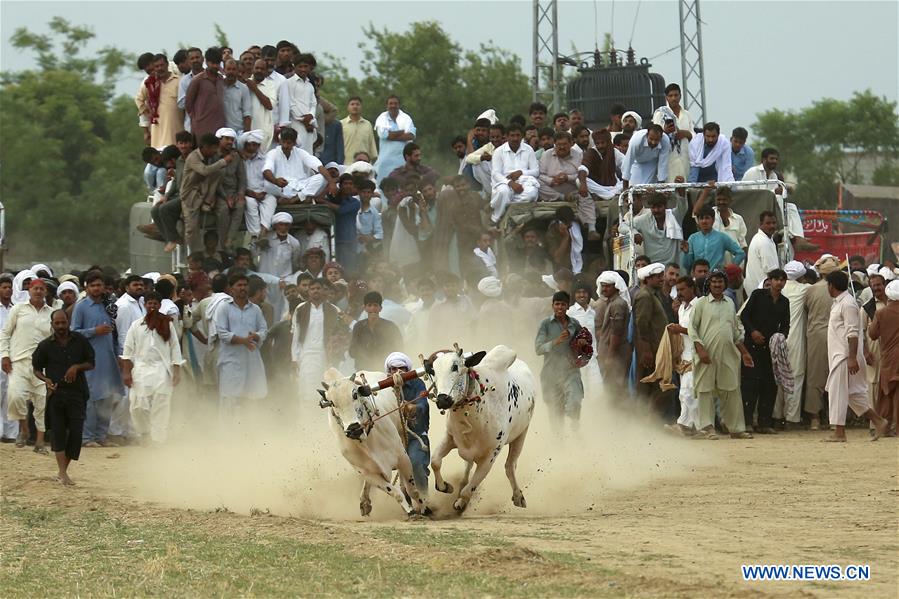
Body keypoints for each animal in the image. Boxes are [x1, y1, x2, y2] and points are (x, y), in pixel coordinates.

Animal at [319, 367, 427, 518]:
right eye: (332, 403)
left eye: (355, 394)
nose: (354, 429)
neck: (366, 442)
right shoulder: (368, 473)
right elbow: (394, 493)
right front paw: (409, 510)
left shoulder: (402, 458)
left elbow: (413, 490)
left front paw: (424, 509)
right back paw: (365, 502)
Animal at [428, 344, 536, 512]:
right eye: (433, 371)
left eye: (455, 366)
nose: (443, 400)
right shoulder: (450, 437)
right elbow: (435, 461)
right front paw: (445, 486)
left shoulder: (490, 456)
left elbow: (469, 489)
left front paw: (461, 501)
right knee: (468, 466)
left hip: (521, 435)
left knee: (510, 466)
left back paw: (518, 496)